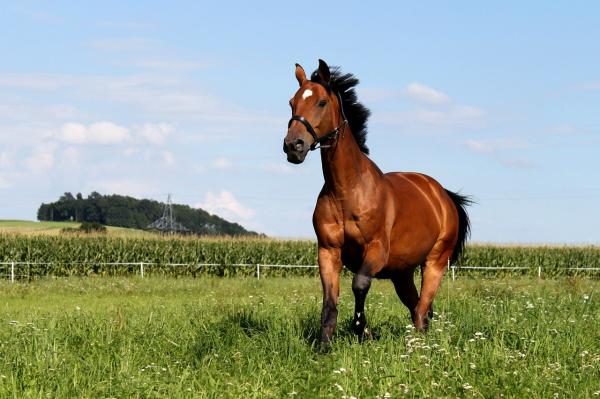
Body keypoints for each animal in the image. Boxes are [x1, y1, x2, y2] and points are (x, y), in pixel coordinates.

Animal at [284, 60, 472, 346]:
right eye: (292, 102)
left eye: (321, 102)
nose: (293, 146)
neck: (347, 192)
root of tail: (443, 195)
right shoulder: (328, 251)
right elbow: (329, 300)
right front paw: (325, 344)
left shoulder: (375, 250)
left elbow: (359, 284)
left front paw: (362, 330)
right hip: (401, 273)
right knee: (417, 306)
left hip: (435, 263)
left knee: (422, 308)